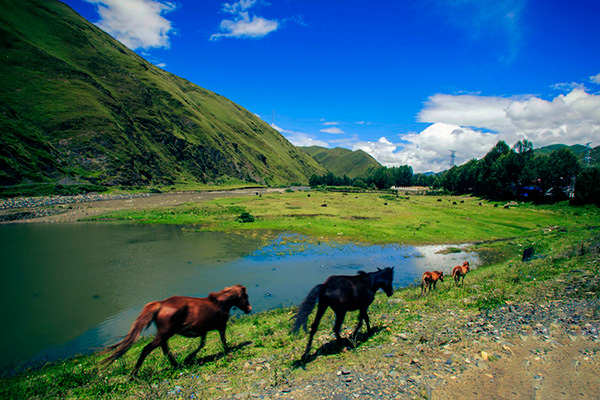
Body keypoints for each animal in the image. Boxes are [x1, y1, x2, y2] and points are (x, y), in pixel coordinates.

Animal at [102, 284, 251, 376]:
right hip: (164, 334)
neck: (220, 303)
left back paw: (175, 365)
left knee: (164, 349)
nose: (249, 309)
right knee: (147, 349)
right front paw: (228, 352)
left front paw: (189, 358)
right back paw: (134, 375)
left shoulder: (202, 331)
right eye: (245, 296)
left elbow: (201, 344)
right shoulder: (221, 326)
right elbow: (223, 341)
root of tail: (160, 305)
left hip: (164, 335)